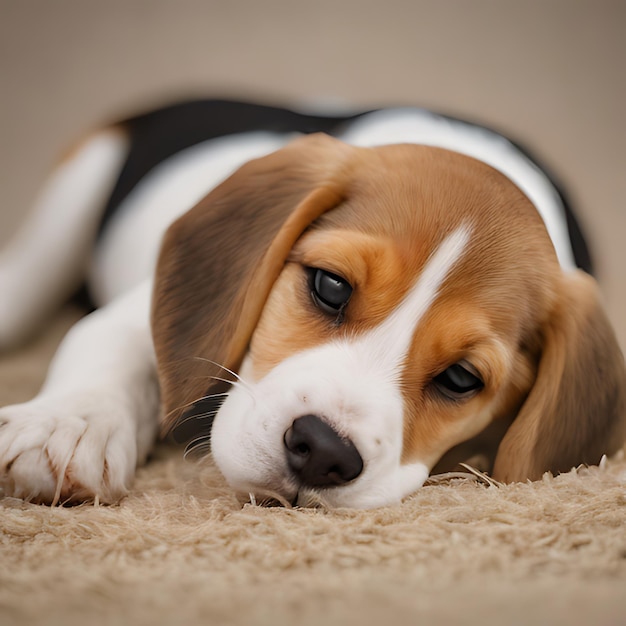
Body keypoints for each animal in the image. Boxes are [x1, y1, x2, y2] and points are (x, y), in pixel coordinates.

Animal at [0, 98, 620, 508]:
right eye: (330, 286)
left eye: (462, 378)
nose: (323, 452)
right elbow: (105, 341)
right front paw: (67, 426)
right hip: (72, 200)